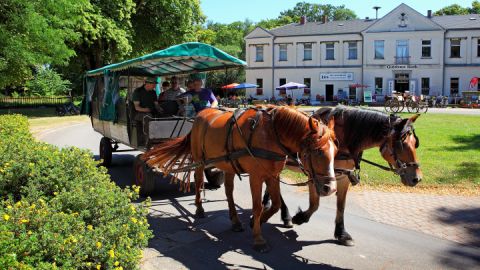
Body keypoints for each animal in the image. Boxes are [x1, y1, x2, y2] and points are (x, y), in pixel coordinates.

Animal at [144, 105, 336, 251]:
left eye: (335, 151)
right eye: (318, 152)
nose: (331, 189)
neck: (271, 133)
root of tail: (200, 114)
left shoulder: (273, 175)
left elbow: (275, 204)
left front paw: (259, 221)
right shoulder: (256, 176)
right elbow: (257, 207)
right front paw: (258, 238)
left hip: (228, 164)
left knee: (229, 192)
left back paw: (235, 221)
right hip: (199, 160)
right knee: (198, 182)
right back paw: (199, 209)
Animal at [264, 106, 422, 246]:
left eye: (415, 143)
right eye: (402, 144)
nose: (417, 178)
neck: (344, 136)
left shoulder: (343, 177)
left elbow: (341, 206)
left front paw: (341, 233)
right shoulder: (316, 175)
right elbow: (315, 204)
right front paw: (301, 217)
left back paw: (270, 205)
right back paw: (285, 215)